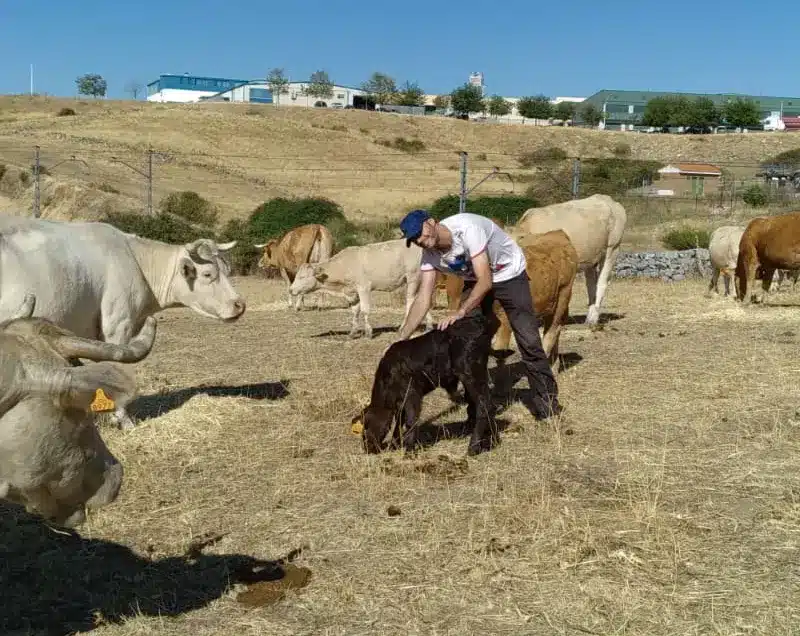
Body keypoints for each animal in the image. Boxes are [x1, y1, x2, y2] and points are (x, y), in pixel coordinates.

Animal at [290, 237, 434, 338]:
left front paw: (368, 332)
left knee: (410, 301)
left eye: (302, 277)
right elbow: (355, 311)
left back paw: (404, 326)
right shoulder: (351, 292)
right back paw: (429, 325)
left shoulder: (363, 288)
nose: (290, 289)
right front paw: (353, 332)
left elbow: (365, 310)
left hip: (413, 277)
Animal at [352, 310, 496, 454]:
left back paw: (473, 447)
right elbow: (399, 422)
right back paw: (490, 439)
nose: (366, 448)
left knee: (484, 405)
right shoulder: (401, 402)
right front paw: (395, 444)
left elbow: (411, 421)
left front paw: (409, 451)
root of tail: (478, 321)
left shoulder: (412, 395)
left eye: (366, 427)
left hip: (470, 374)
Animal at [516, 194, 628, 326]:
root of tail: (608, 200)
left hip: (613, 248)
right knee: (591, 284)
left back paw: (593, 319)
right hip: (591, 257)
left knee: (602, 282)